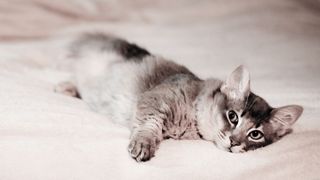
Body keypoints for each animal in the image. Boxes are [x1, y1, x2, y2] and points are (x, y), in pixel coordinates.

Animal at [55, 32, 302, 162]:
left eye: (255, 135)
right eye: (233, 117)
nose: (234, 142)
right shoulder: (154, 100)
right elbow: (149, 126)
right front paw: (143, 145)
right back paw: (65, 86)